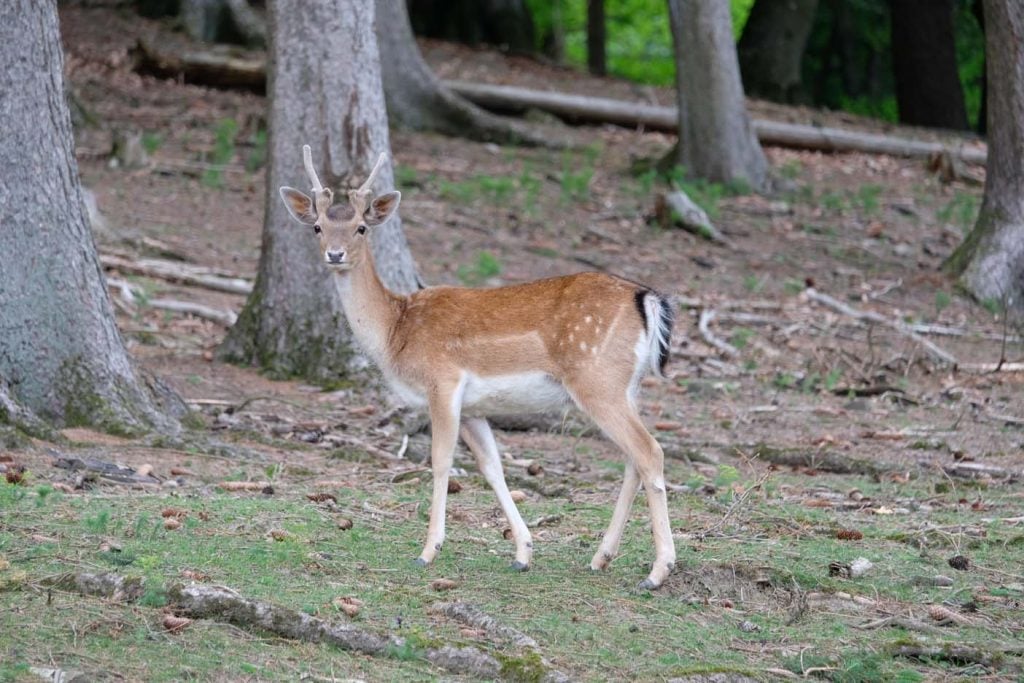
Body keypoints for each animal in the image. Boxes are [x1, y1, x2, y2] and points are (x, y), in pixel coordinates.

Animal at [280, 144, 679, 589]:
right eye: (317, 226)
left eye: (361, 228)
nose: (335, 254)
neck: (396, 333)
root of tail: (648, 299)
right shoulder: (474, 408)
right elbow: (493, 468)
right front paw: (523, 553)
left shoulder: (443, 381)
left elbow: (440, 461)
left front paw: (428, 551)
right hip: (626, 385)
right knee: (632, 459)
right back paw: (601, 557)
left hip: (597, 381)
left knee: (649, 451)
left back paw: (658, 570)